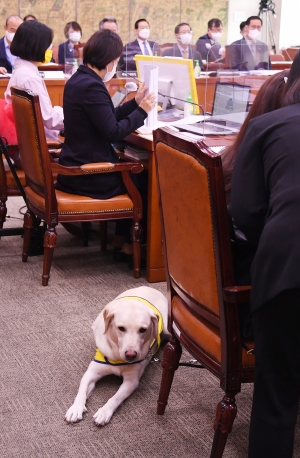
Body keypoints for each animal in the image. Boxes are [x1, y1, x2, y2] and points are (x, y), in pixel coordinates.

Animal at [64, 286, 170, 426]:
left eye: (143, 329)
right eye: (121, 328)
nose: (131, 355)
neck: (117, 357)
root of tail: (149, 287)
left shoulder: (131, 381)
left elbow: (115, 397)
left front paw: (104, 412)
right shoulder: (92, 372)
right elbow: (82, 390)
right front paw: (75, 408)